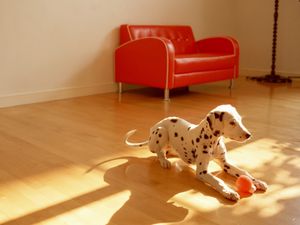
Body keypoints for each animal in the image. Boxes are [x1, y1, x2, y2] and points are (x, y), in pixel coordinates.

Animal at [124, 103, 268, 200]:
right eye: (232, 123)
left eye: (240, 120)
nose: (249, 135)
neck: (214, 141)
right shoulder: (202, 172)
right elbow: (218, 181)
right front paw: (229, 192)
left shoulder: (225, 164)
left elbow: (243, 172)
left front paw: (257, 181)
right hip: (161, 132)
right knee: (159, 152)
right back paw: (164, 161)